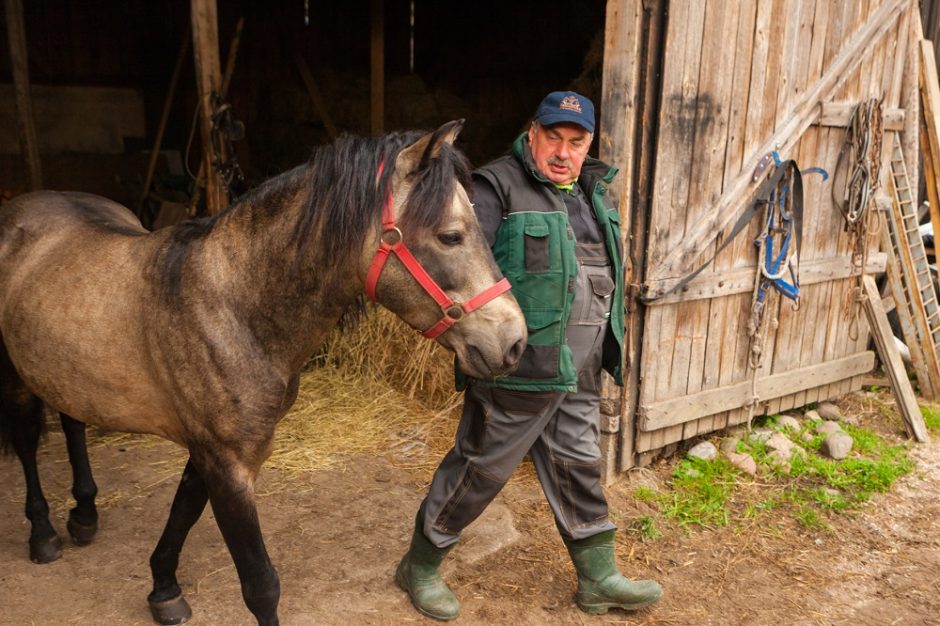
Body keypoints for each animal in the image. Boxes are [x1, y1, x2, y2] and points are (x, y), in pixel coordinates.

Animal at [0, 122, 528, 624]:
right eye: (451, 235)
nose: (514, 342)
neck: (231, 304)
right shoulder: (228, 463)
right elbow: (261, 585)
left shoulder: (210, 450)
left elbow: (183, 511)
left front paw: (163, 588)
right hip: (16, 377)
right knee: (26, 443)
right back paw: (43, 534)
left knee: (72, 422)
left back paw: (85, 514)